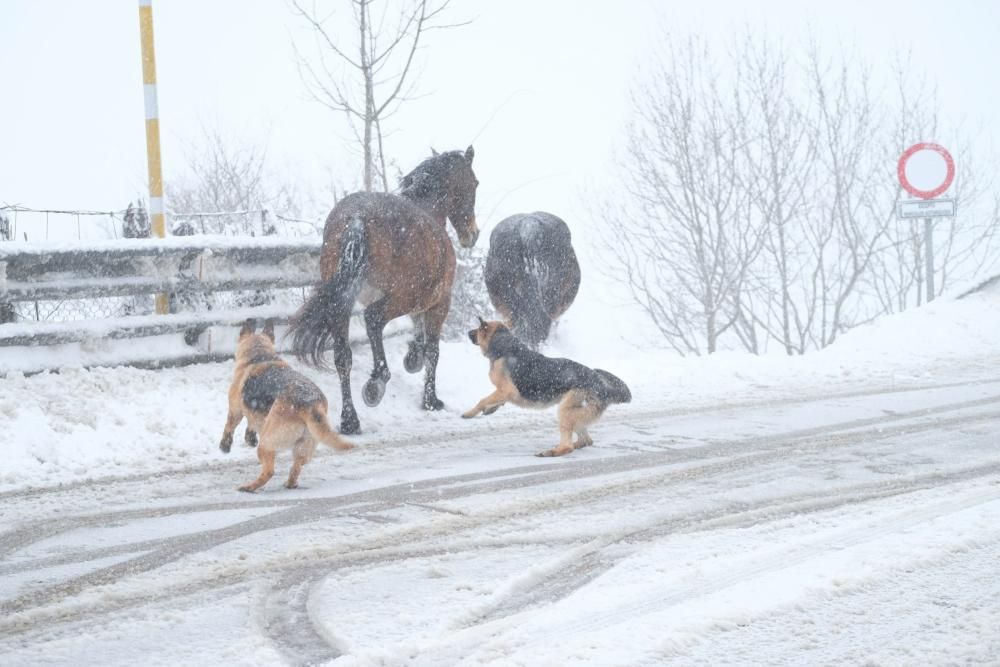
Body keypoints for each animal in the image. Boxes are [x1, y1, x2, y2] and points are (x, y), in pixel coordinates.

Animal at [221, 318, 354, 490]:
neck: (259, 353)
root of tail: (310, 404)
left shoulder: (235, 409)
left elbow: (230, 426)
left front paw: (225, 445)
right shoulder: (254, 412)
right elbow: (251, 423)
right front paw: (249, 437)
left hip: (267, 443)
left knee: (269, 471)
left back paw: (249, 487)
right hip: (304, 447)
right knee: (297, 467)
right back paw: (290, 483)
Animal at [290, 146, 480, 434]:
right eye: (475, 183)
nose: (473, 234)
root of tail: (357, 218)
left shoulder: (420, 303)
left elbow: (419, 336)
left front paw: (412, 359)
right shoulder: (438, 303)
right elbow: (433, 350)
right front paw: (430, 400)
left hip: (343, 303)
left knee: (343, 356)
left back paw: (350, 420)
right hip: (398, 298)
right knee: (373, 318)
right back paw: (375, 384)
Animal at [462, 320, 632, 456]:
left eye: (478, 328)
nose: (467, 332)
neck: (505, 344)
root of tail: (602, 384)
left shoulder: (507, 390)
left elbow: (482, 400)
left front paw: (469, 413)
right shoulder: (504, 393)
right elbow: (494, 401)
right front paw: (491, 409)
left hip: (565, 410)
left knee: (569, 446)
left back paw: (552, 452)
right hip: (576, 412)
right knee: (586, 440)